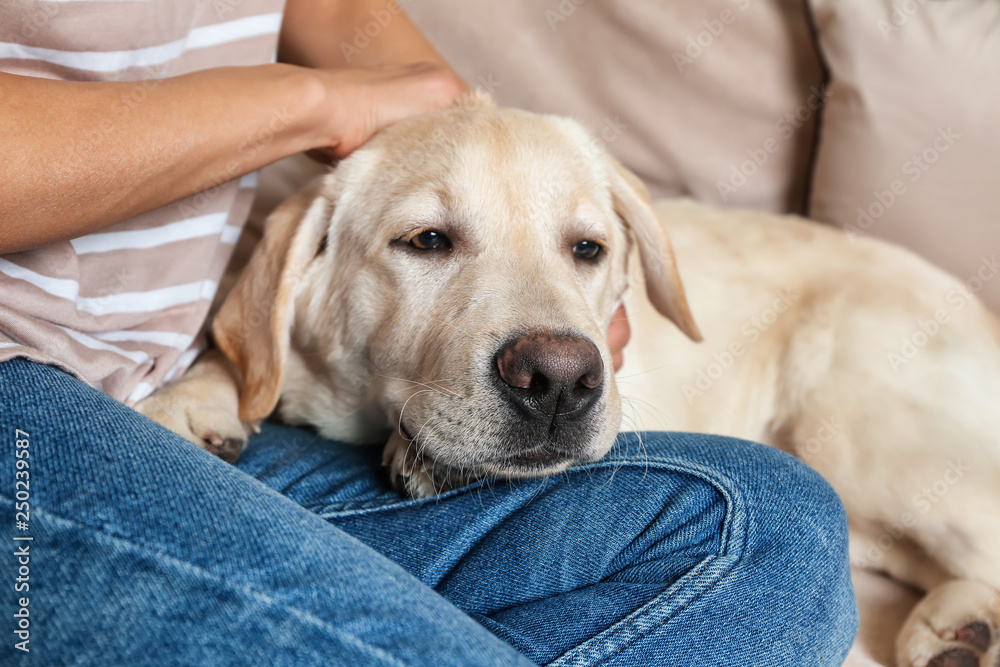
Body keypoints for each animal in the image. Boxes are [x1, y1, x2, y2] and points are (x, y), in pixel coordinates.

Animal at [135, 95, 1000, 667]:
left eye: (587, 248)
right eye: (426, 241)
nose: (558, 379)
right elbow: (245, 354)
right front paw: (194, 397)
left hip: (853, 428)